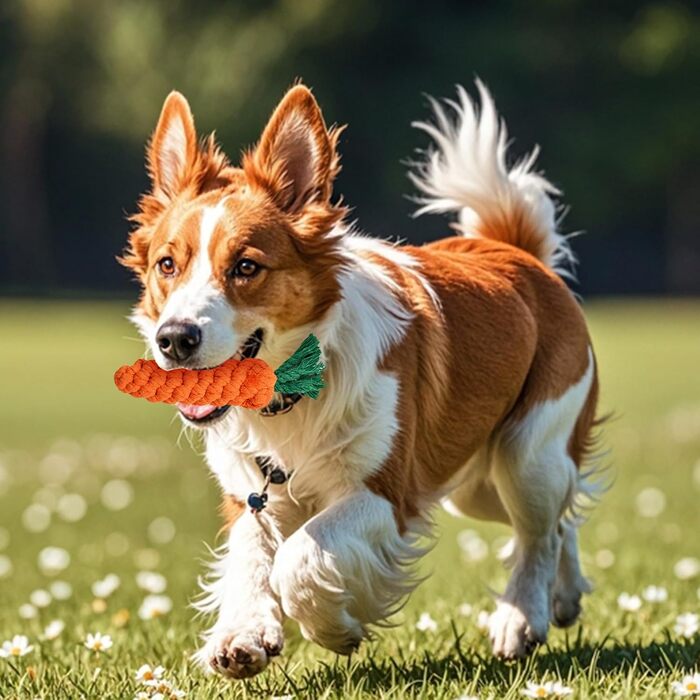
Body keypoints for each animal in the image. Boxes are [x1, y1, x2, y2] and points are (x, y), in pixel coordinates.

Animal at [121, 80, 600, 680]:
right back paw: (566, 596)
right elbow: (251, 557)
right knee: (563, 517)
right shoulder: (249, 491)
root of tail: (515, 251)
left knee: (539, 531)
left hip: (525, 453)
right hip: (474, 482)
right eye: (167, 265)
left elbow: (299, 557)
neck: (291, 396)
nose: (174, 339)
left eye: (246, 267)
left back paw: (522, 618)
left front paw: (335, 628)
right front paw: (242, 634)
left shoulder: (388, 492)